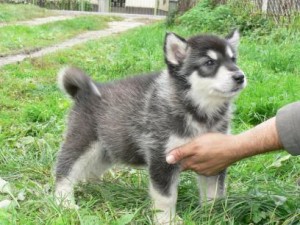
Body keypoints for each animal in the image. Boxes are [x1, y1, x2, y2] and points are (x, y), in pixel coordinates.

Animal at [55, 30, 246, 224]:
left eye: (233, 59)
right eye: (209, 62)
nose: (240, 76)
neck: (198, 112)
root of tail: (83, 92)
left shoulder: (213, 156)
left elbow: (214, 192)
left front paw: (214, 215)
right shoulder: (161, 157)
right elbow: (166, 197)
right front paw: (167, 220)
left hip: (108, 149)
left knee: (89, 171)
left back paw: (101, 189)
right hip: (83, 141)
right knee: (65, 171)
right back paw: (65, 203)